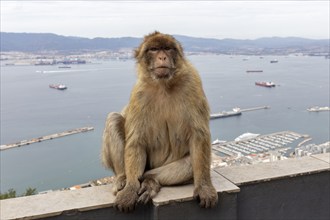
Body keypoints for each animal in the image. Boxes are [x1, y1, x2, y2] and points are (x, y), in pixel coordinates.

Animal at [102, 31, 218, 212]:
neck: (164, 84)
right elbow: (136, 141)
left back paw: (150, 181)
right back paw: (123, 178)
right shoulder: (139, 93)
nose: (162, 57)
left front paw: (204, 188)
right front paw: (130, 189)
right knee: (113, 119)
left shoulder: (192, 82)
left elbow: (199, 136)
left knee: (188, 164)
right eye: (154, 49)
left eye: (168, 48)